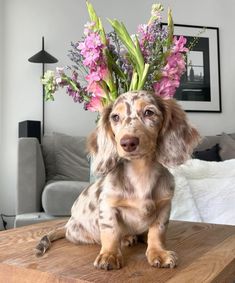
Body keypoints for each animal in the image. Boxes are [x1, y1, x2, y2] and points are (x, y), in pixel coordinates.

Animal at [35, 90, 200, 270]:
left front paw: (158, 252)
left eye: (149, 112)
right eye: (115, 117)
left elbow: (157, 231)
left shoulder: (164, 206)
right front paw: (109, 255)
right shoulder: (108, 206)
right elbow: (111, 232)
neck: (141, 172)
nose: (127, 142)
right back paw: (126, 238)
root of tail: (67, 224)